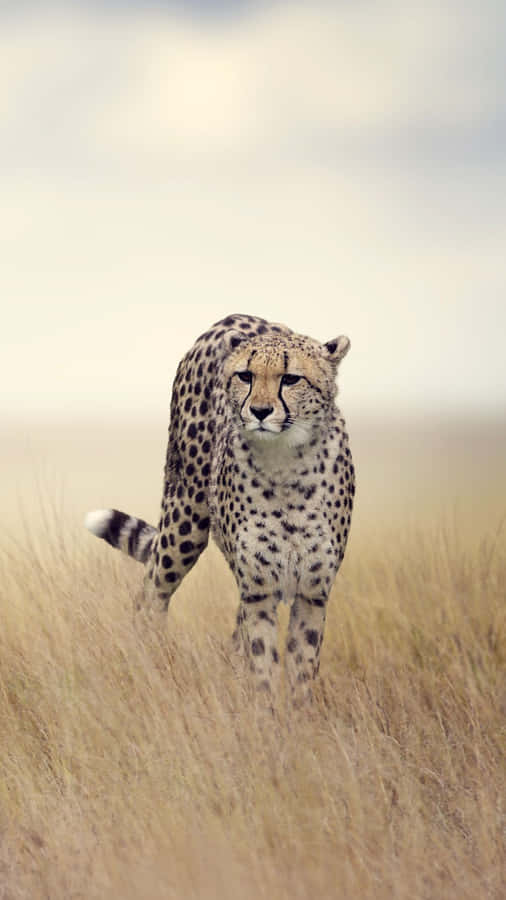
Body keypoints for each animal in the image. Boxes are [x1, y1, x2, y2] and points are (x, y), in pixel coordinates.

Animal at [85, 314, 355, 700]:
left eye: (291, 378)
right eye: (246, 375)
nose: (259, 411)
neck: (285, 463)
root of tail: (232, 318)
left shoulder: (312, 594)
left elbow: (299, 674)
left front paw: (295, 715)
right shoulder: (259, 590)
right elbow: (262, 665)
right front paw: (263, 712)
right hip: (184, 525)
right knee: (150, 594)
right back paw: (144, 665)